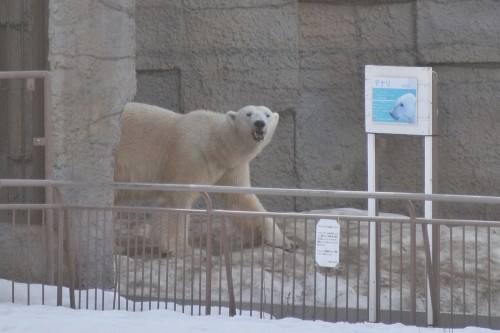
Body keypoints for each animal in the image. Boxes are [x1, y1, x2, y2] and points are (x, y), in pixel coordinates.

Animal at [114, 102, 292, 255]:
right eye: (248, 114)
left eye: (267, 114)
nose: (259, 123)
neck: (216, 142)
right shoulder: (192, 154)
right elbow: (178, 198)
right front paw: (184, 250)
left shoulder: (231, 166)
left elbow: (241, 199)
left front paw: (286, 242)